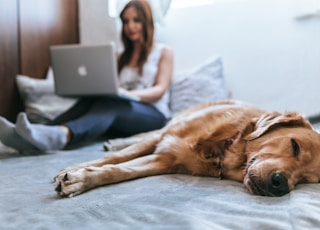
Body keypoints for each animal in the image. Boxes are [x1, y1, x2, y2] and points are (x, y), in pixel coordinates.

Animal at [53, 100, 320, 198]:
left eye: (307, 179)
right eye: (294, 146)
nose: (280, 184)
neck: (223, 145)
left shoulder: (163, 160)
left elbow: (120, 170)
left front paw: (81, 179)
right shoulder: (164, 139)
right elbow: (120, 157)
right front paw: (75, 170)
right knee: (140, 136)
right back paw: (115, 141)